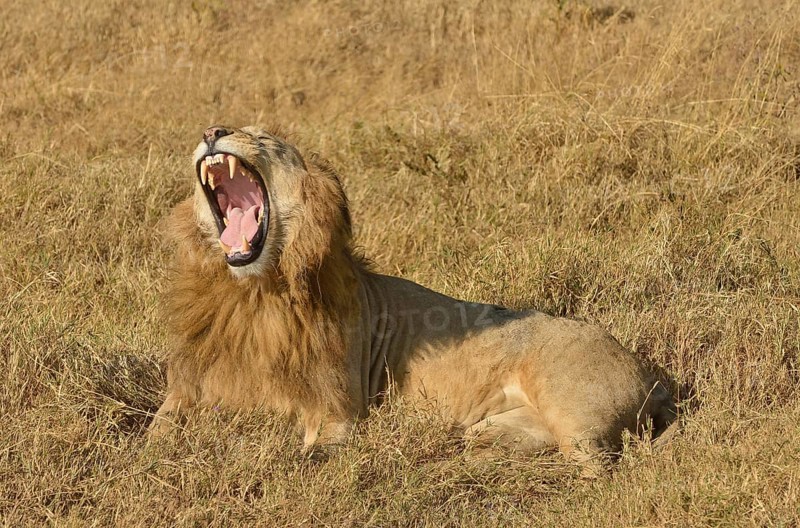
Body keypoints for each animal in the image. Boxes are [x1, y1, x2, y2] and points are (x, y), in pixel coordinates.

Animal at [150, 124, 676, 466]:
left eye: (264, 139)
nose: (213, 130)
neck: (252, 294)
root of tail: (652, 375)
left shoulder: (340, 410)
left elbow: (304, 458)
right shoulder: (189, 389)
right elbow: (156, 434)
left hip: (572, 407)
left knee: (600, 468)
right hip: (495, 431)